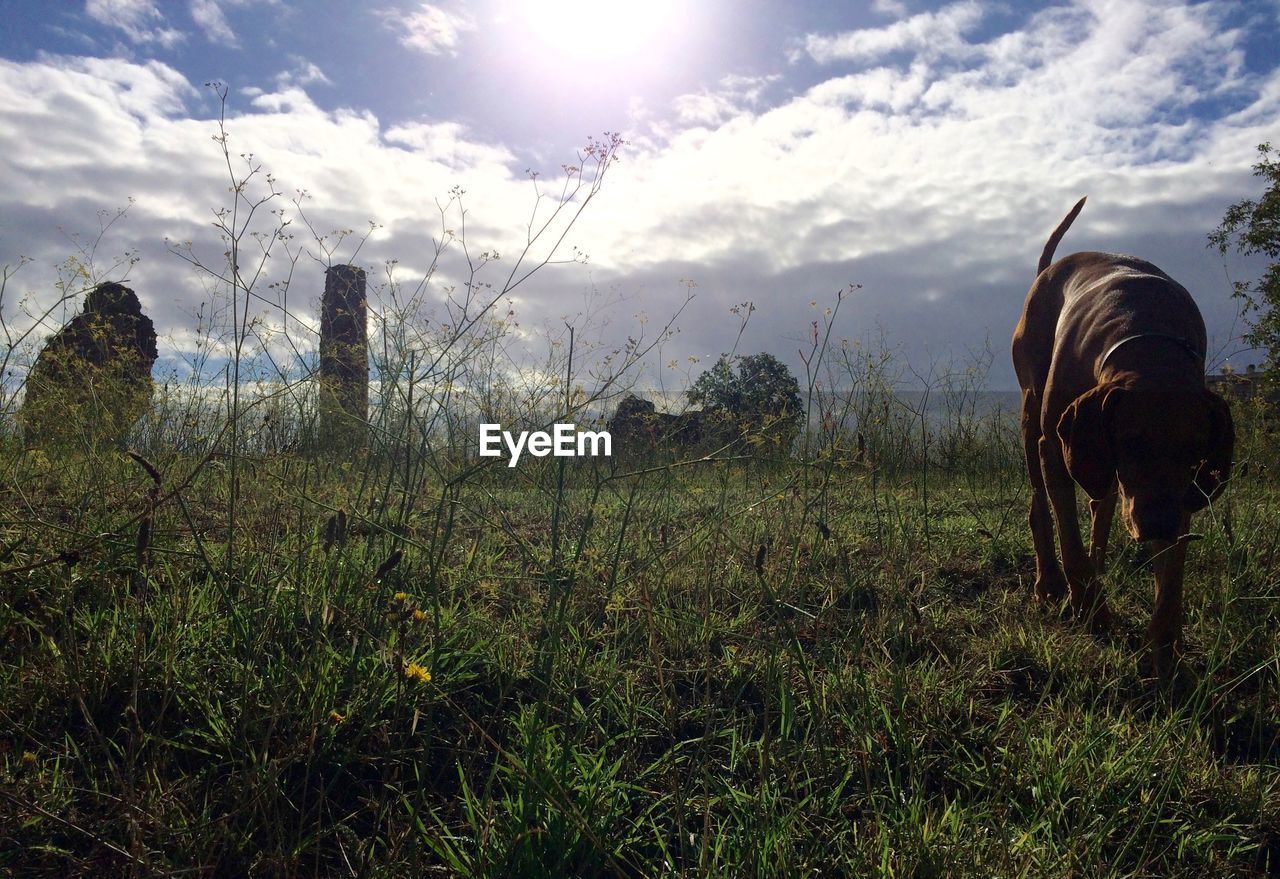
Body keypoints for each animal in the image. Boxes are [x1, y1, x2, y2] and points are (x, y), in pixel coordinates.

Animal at [1013, 199, 1233, 675]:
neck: (1147, 338)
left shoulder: (1176, 491)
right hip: (1031, 412)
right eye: (1131, 442)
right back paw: (1050, 582)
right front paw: (1091, 612)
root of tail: (1048, 270)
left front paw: (1165, 647)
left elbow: (1172, 570)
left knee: (1102, 502)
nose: (1157, 525)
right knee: (1041, 504)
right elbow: (1070, 540)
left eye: (1195, 450)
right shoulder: (1056, 447)